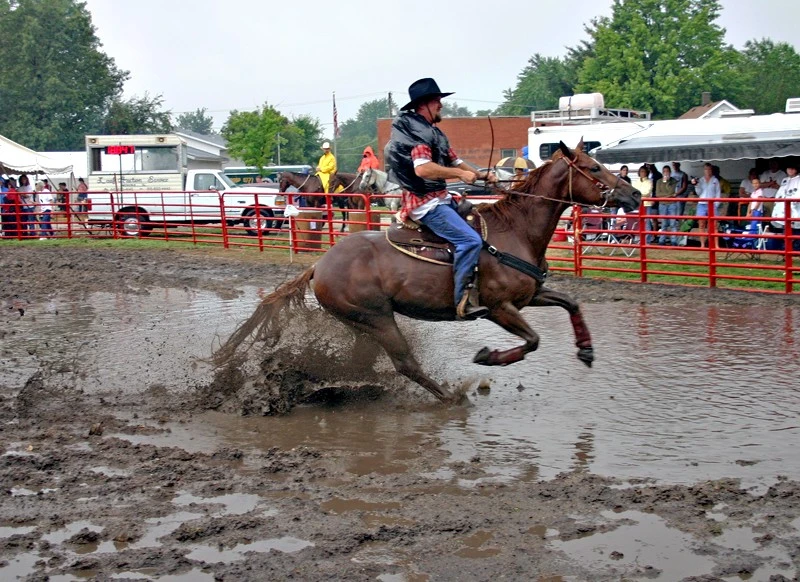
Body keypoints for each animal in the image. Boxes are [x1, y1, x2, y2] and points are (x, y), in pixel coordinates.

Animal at [212, 142, 636, 406]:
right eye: (594, 168)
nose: (633, 195)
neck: (514, 230)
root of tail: (320, 264)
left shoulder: (529, 296)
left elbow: (571, 302)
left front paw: (586, 350)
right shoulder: (500, 307)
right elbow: (532, 342)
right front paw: (487, 357)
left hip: (359, 322)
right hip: (377, 318)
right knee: (406, 364)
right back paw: (450, 397)